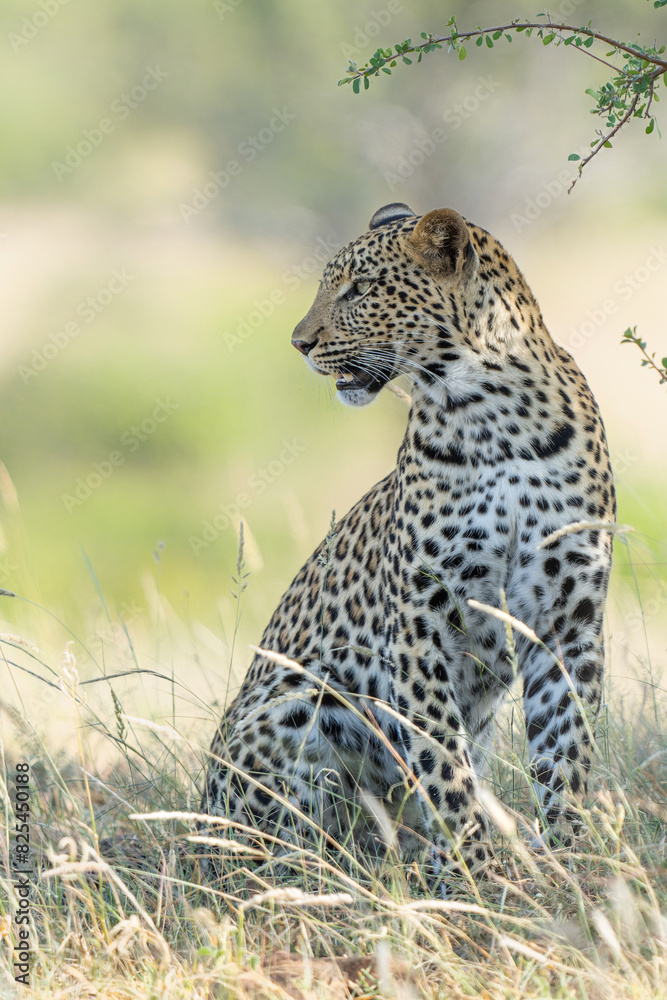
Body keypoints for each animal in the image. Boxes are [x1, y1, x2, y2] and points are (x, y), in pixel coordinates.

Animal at [200, 202, 615, 884]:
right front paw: (474, 873)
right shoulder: (424, 617)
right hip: (294, 698)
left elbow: (566, 746)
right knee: (282, 844)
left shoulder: (568, 618)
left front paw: (572, 859)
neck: (491, 413)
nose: (299, 343)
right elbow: (441, 756)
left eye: (361, 288)